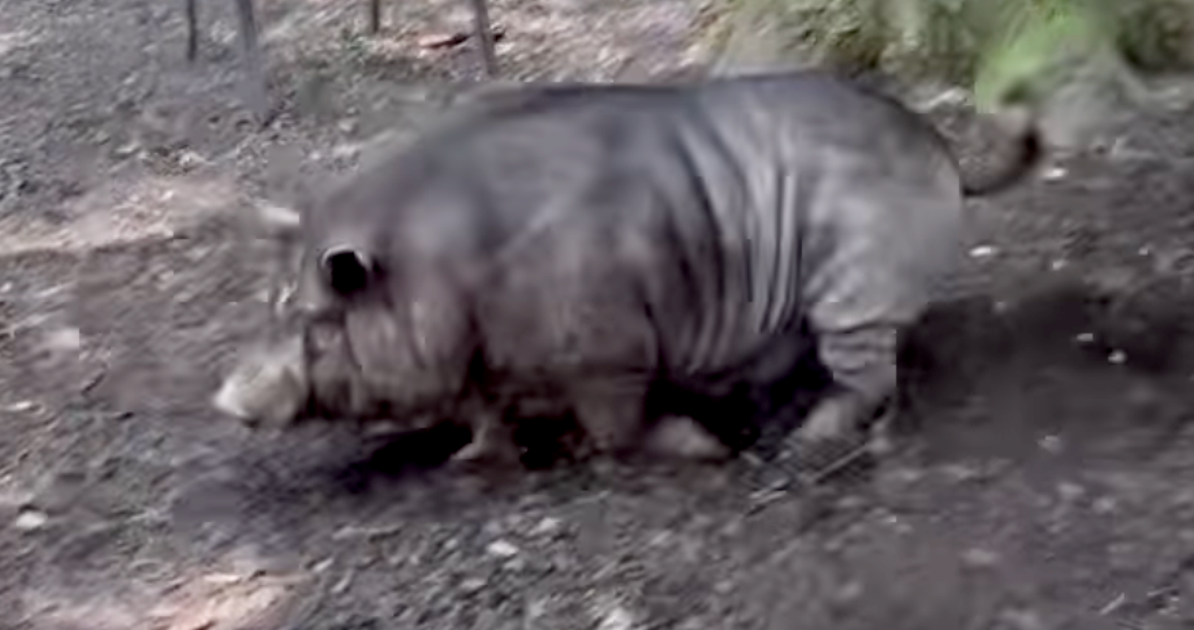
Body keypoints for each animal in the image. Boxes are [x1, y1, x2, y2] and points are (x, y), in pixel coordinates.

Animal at [213, 70, 1042, 466]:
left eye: (315, 322)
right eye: (273, 305)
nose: (222, 400)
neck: (437, 267)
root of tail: (942, 149)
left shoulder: (605, 347)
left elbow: (617, 429)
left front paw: (706, 451)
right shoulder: (477, 358)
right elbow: (482, 412)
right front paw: (470, 462)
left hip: (855, 280)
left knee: (868, 374)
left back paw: (804, 439)